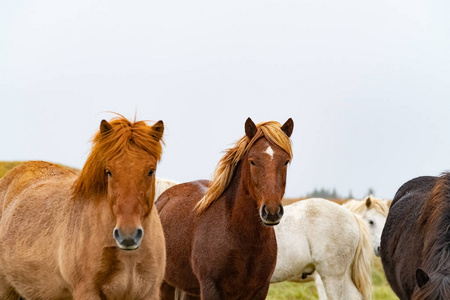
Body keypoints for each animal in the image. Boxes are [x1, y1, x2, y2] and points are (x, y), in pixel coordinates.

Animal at [156, 118, 294, 300]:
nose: (271, 211)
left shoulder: (260, 290)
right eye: (252, 161)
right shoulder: (211, 288)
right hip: (165, 285)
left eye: (285, 161)